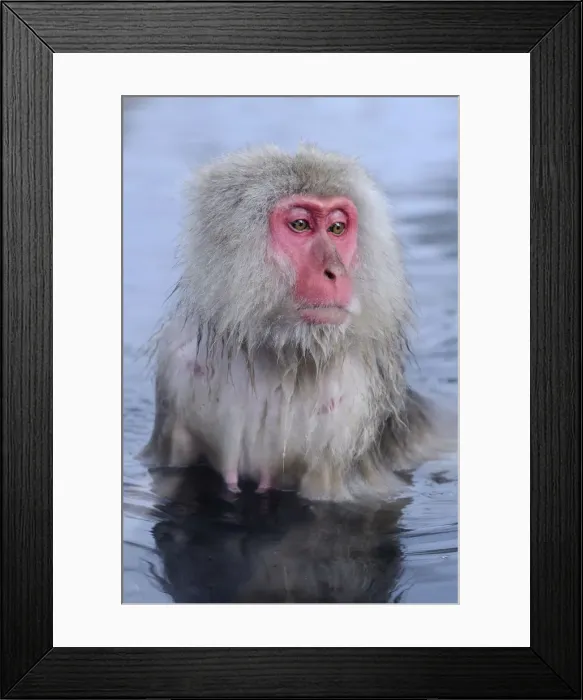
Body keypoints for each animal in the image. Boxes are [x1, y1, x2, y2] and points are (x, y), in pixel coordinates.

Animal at [139, 143, 455, 504]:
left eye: (336, 229)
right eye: (301, 224)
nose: (335, 272)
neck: (275, 351)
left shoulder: (352, 401)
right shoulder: (175, 364)